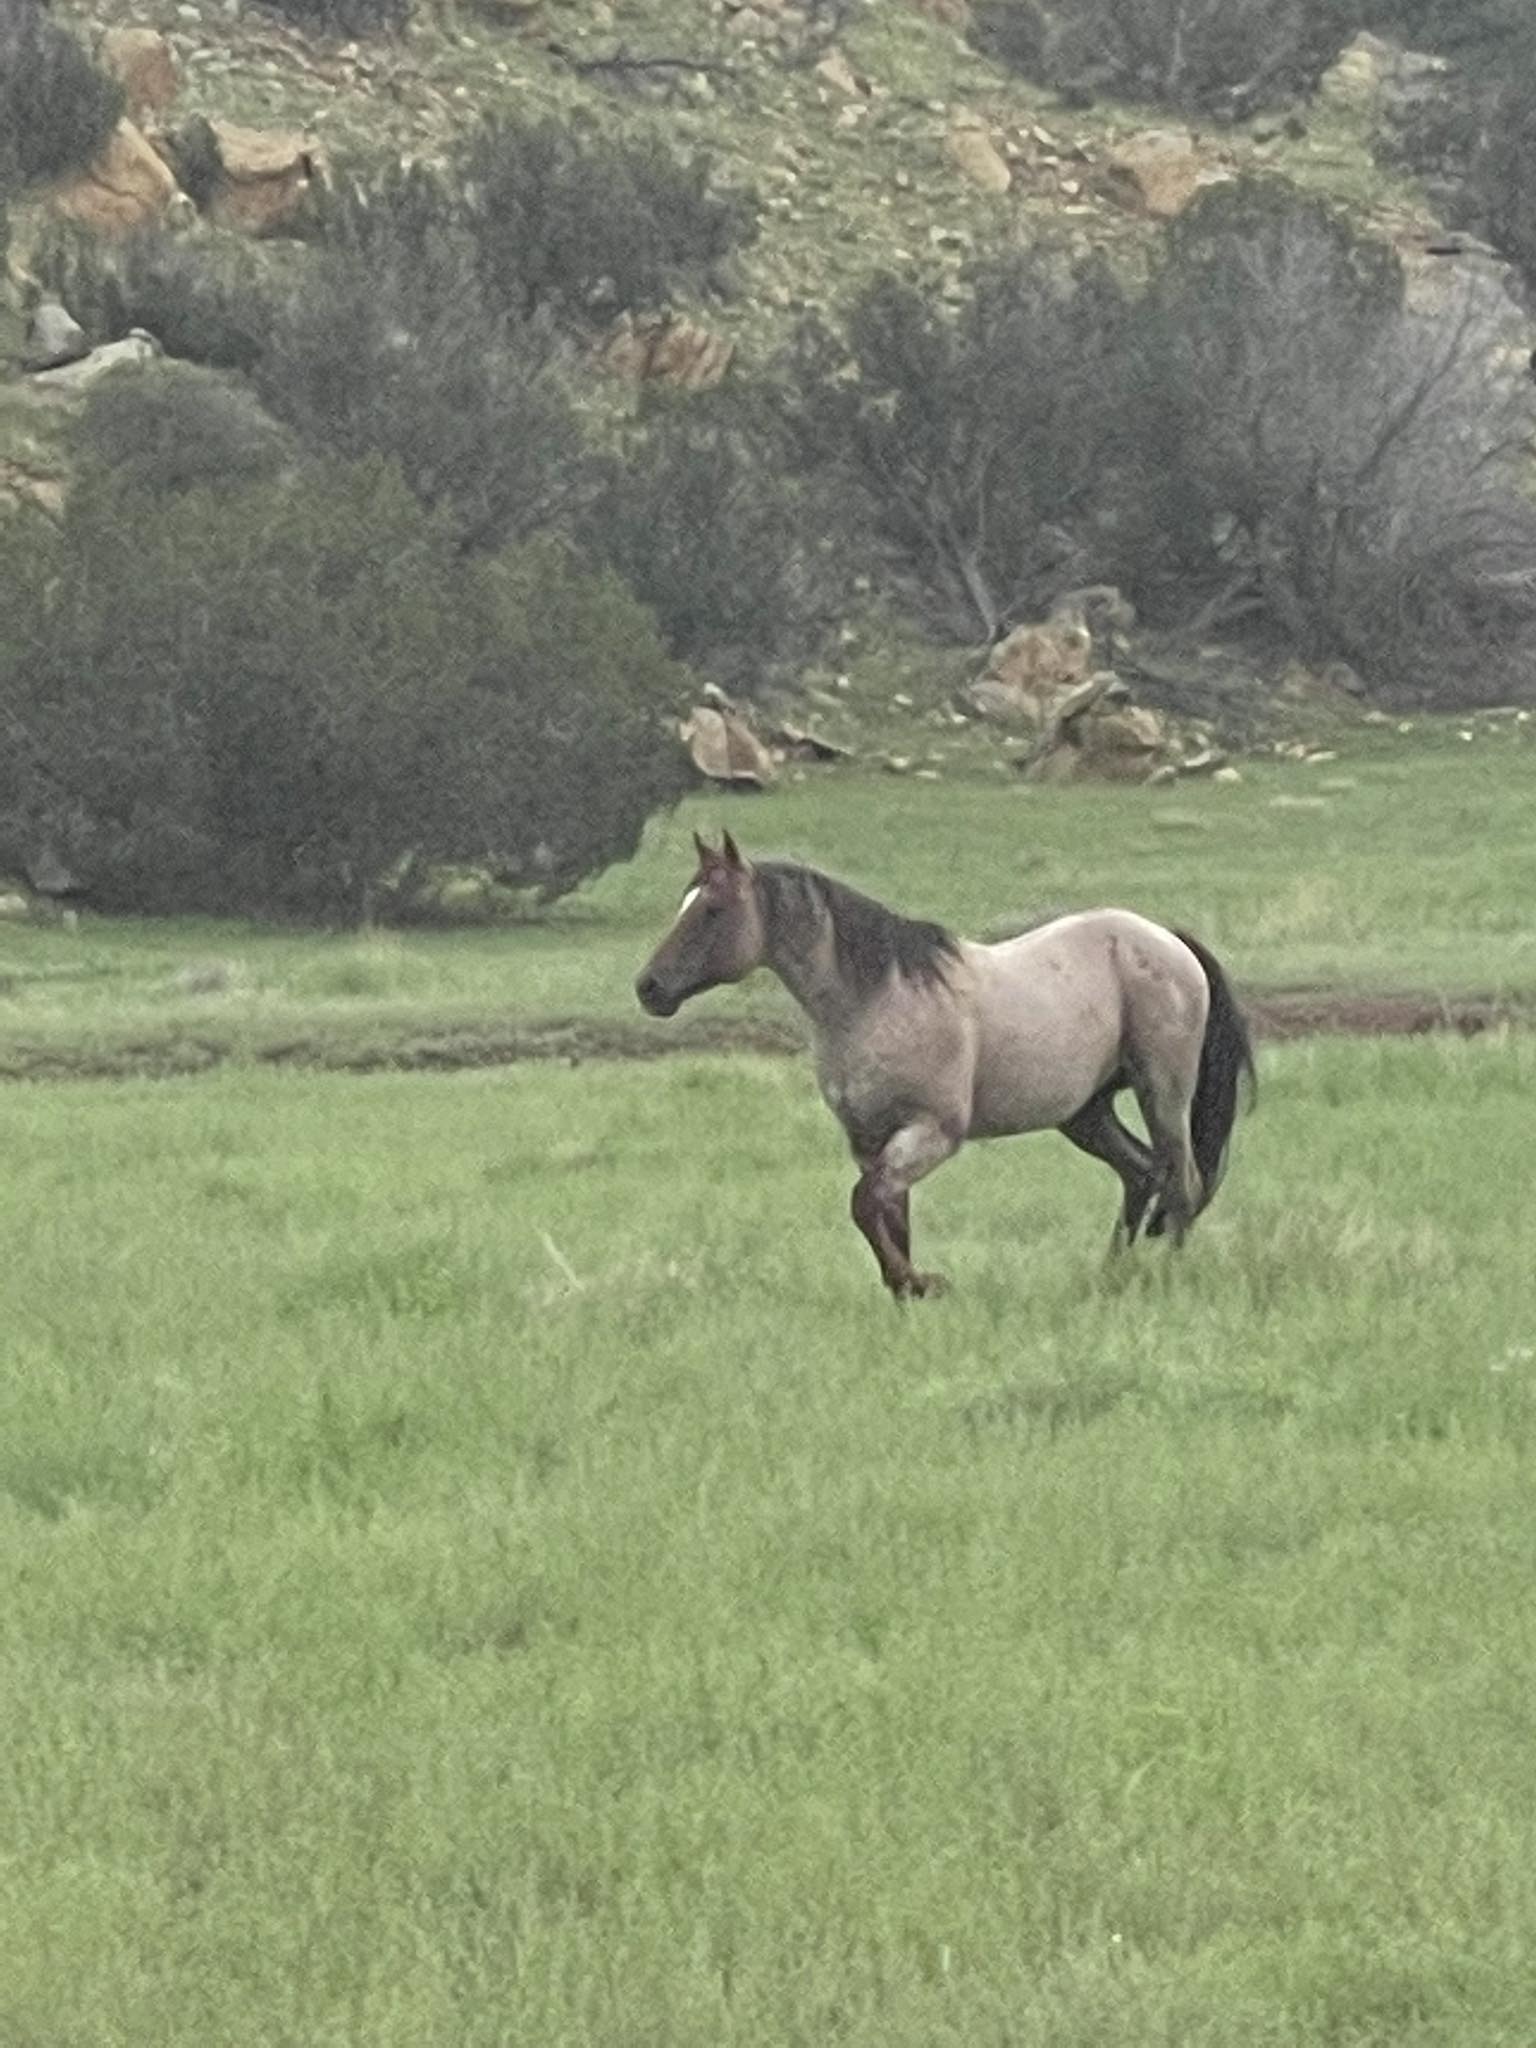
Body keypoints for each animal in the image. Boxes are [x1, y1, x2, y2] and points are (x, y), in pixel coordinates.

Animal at [635, 833, 1255, 1300]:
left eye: (713, 910)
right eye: (686, 902)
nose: (649, 987)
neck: (877, 999)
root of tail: (1169, 940)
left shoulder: (932, 1133)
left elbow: (863, 1204)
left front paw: (922, 1283)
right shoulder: (871, 1141)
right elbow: (886, 1216)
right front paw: (907, 1290)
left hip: (1162, 1092)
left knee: (1182, 1182)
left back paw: (1165, 1275)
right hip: (1085, 1113)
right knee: (1142, 1174)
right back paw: (1111, 1275)